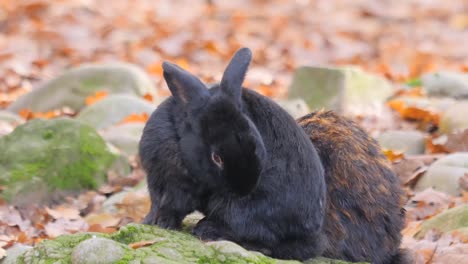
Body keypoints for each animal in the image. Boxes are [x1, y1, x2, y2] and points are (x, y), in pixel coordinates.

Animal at [139, 48, 410, 264]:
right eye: (217, 157)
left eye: (256, 143)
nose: (245, 187)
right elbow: (165, 205)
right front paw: (154, 222)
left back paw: (208, 230)